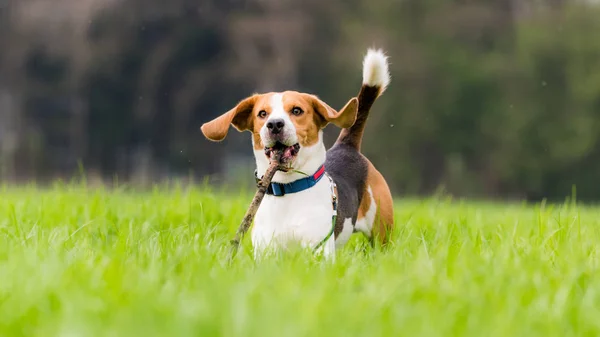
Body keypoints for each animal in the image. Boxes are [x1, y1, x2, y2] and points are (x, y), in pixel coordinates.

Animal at [200, 48, 394, 258]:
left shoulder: (319, 249)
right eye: (262, 114)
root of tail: (346, 146)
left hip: (381, 235)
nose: (275, 124)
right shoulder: (265, 252)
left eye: (296, 110)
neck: (287, 188)